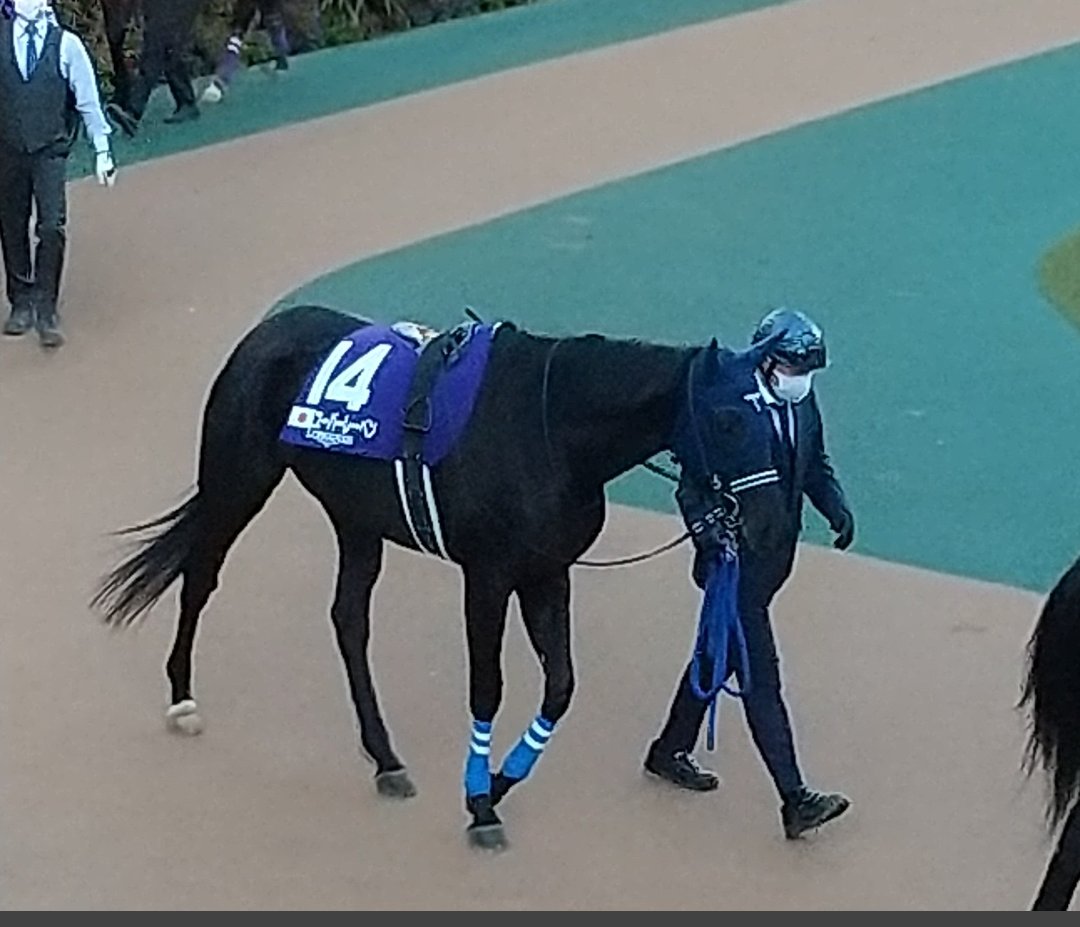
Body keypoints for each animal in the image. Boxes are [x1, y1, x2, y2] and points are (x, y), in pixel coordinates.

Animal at [90, 303, 789, 850]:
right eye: (730, 419)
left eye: (772, 421)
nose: (763, 524)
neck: (549, 427)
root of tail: (266, 330)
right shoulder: (487, 575)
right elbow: (488, 686)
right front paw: (480, 803)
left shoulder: (547, 571)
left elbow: (561, 685)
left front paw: (501, 782)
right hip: (239, 478)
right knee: (201, 576)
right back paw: (182, 697)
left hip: (355, 518)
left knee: (348, 620)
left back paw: (385, 758)